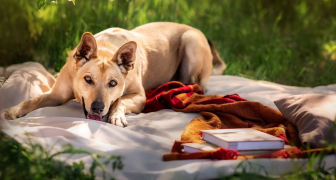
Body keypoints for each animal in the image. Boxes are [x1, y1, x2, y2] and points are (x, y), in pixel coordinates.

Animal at [3, 22, 226, 126]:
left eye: (113, 83)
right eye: (88, 79)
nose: (98, 108)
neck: (104, 49)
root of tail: (192, 28)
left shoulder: (139, 96)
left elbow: (120, 100)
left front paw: (116, 116)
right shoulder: (56, 95)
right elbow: (32, 100)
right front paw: (13, 110)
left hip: (191, 41)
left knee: (196, 85)